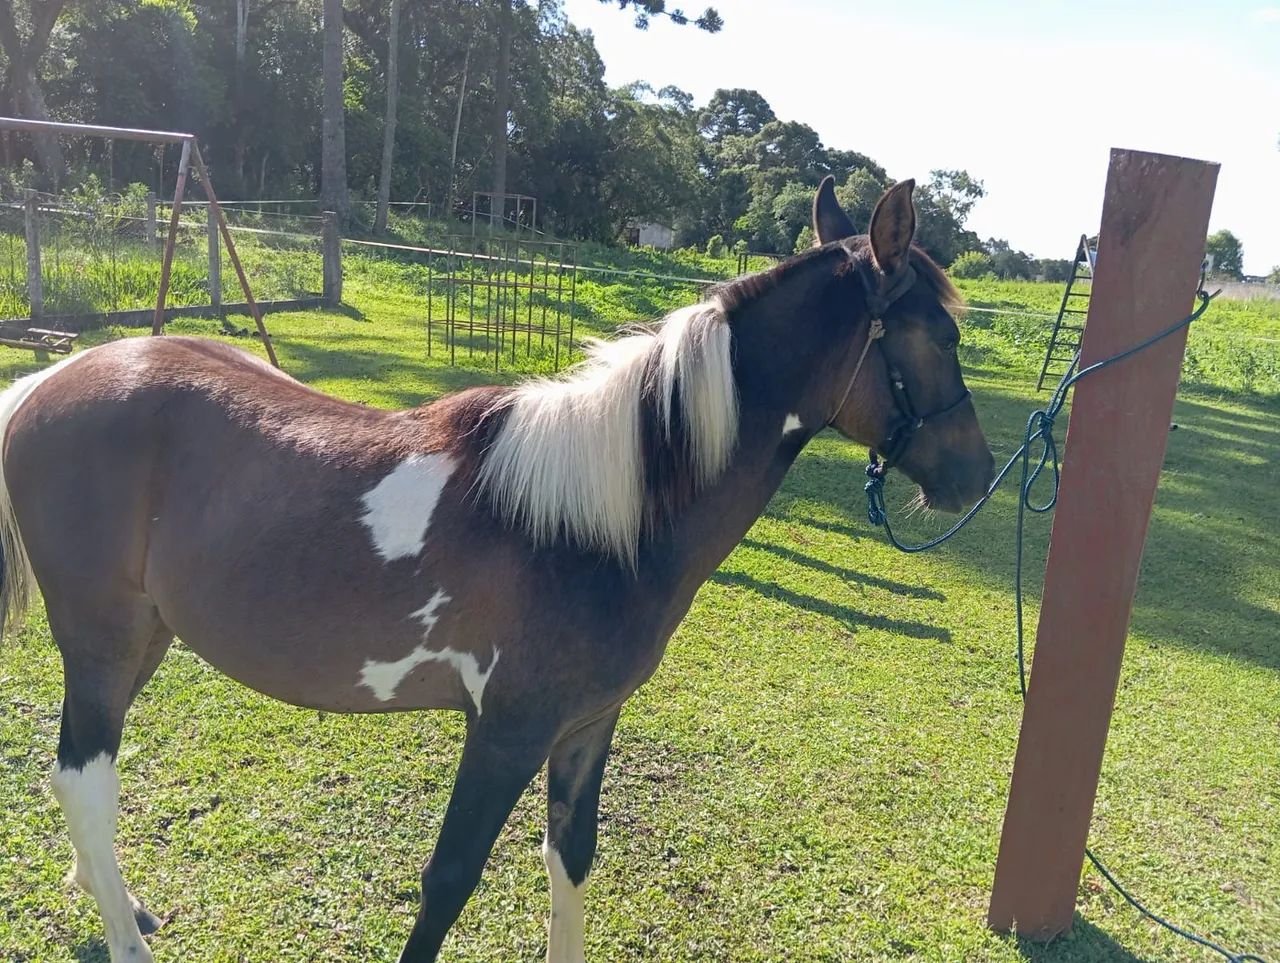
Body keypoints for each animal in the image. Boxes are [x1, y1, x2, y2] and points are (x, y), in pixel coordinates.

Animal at [0, 177, 993, 962]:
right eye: (939, 337)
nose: (979, 476)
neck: (599, 520)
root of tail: (47, 381)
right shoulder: (506, 731)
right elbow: (449, 878)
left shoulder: (585, 726)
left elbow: (571, 856)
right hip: (101, 641)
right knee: (86, 777)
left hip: (147, 638)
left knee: (75, 778)